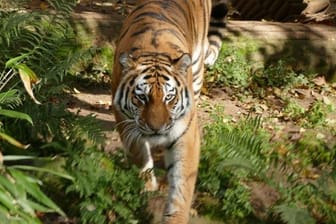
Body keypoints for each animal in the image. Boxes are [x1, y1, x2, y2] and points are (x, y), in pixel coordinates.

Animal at [111, 0, 227, 223]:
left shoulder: (186, 133)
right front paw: (147, 188)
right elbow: (140, 155)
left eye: (169, 98)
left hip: (197, 70)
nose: (157, 128)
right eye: (142, 97)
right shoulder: (125, 121)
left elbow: (182, 186)